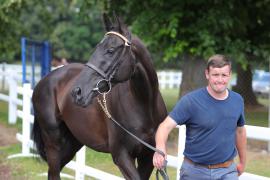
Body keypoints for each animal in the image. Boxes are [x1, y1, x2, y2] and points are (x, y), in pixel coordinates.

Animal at [31, 14, 167, 180]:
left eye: (110, 50)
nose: (77, 92)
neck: (144, 105)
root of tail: (43, 81)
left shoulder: (147, 158)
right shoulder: (121, 157)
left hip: (73, 143)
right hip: (53, 143)